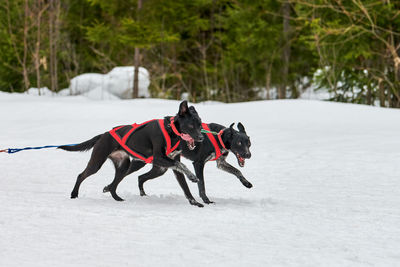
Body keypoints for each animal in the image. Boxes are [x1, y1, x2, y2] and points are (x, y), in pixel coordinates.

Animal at [58, 101, 206, 207]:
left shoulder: (172, 164)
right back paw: (74, 194)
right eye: (191, 126)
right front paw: (193, 177)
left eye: (200, 125)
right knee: (81, 175)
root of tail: (103, 135)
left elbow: (185, 186)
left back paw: (116, 198)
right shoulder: (159, 158)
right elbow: (181, 165)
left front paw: (195, 203)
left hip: (128, 166)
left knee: (115, 184)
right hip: (98, 162)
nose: (201, 138)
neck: (170, 130)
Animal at [104, 123, 253, 205]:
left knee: (140, 177)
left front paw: (246, 183)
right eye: (239, 143)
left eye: (249, 143)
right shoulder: (198, 164)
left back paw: (143, 194)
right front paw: (206, 200)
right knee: (122, 176)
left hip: (161, 169)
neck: (218, 137)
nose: (248, 155)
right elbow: (202, 185)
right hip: (140, 164)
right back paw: (108, 187)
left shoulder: (221, 163)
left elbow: (238, 171)